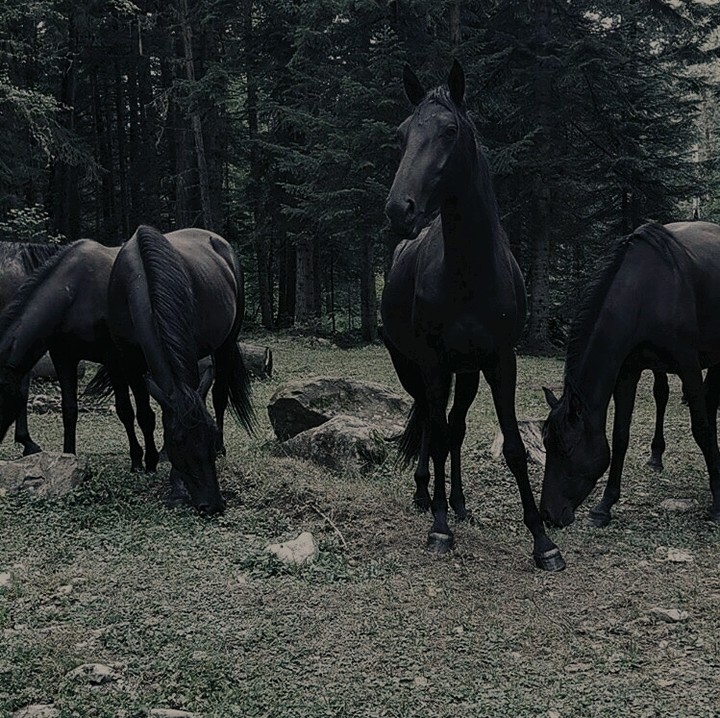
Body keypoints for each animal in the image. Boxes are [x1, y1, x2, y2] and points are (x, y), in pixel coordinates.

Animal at [107, 225, 255, 515]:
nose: (213, 505)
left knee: (219, 396)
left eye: (210, 437)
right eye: (178, 440)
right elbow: (142, 413)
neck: (139, 277)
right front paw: (148, 460)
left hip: (226, 344)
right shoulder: (127, 359)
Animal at [381, 61, 564, 570]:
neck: (469, 272)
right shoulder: (432, 362)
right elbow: (439, 434)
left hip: (466, 373)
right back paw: (427, 497)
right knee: (432, 422)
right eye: (402, 134)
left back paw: (459, 503)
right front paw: (439, 528)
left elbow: (514, 448)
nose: (399, 210)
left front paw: (543, 541)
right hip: (414, 368)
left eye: (450, 131)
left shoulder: (501, 360)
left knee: (454, 427)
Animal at [540, 221, 720, 528]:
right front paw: (604, 506)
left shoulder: (689, 367)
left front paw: (718, 502)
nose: (548, 515)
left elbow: (702, 428)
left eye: (566, 449)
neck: (646, 292)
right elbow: (620, 435)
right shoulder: (628, 372)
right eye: (546, 444)